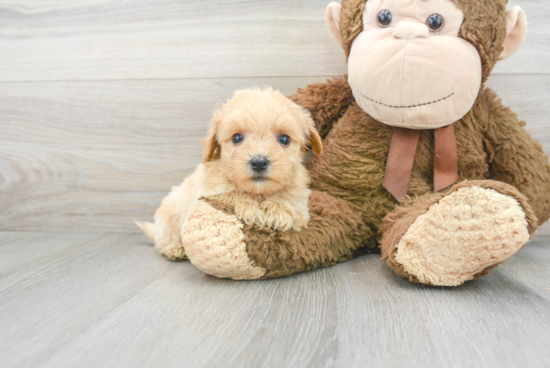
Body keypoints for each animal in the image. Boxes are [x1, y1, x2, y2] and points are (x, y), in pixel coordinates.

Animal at [137, 88, 324, 262]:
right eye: (237, 138)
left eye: (284, 139)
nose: (259, 162)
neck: (258, 192)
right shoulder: (209, 191)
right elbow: (232, 194)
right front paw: (251, 208)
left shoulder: (301, 205)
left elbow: (290, 203)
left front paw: (278, 210)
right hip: (167, 219)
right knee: (163, 240)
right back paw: (174, 249)